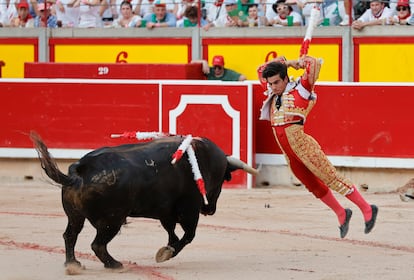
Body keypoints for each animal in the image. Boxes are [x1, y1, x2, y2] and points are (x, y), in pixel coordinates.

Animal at [29, 131, 256, 270]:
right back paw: (114, 264)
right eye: (224, 180)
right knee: (98, 245)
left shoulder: (167, 211)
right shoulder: (189, 210)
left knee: (70, 235)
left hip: (75, 216)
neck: (202, 160)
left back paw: (73, 264)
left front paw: (166, 249)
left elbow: (171, 231)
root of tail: (78, 172)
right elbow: (188, 235)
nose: (210, 209)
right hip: (112, 221)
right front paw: (167, 253)